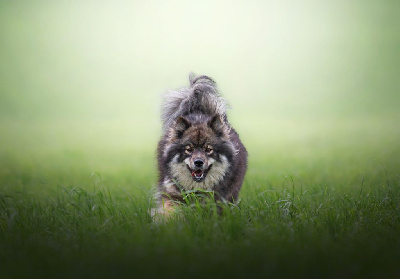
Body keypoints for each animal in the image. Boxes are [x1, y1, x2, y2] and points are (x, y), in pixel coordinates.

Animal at [153, 74, 247, 217]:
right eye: (188, 149)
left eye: (208, 149)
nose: (198, 162)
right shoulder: (173, 194)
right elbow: (171, 210)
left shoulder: (220, 198)